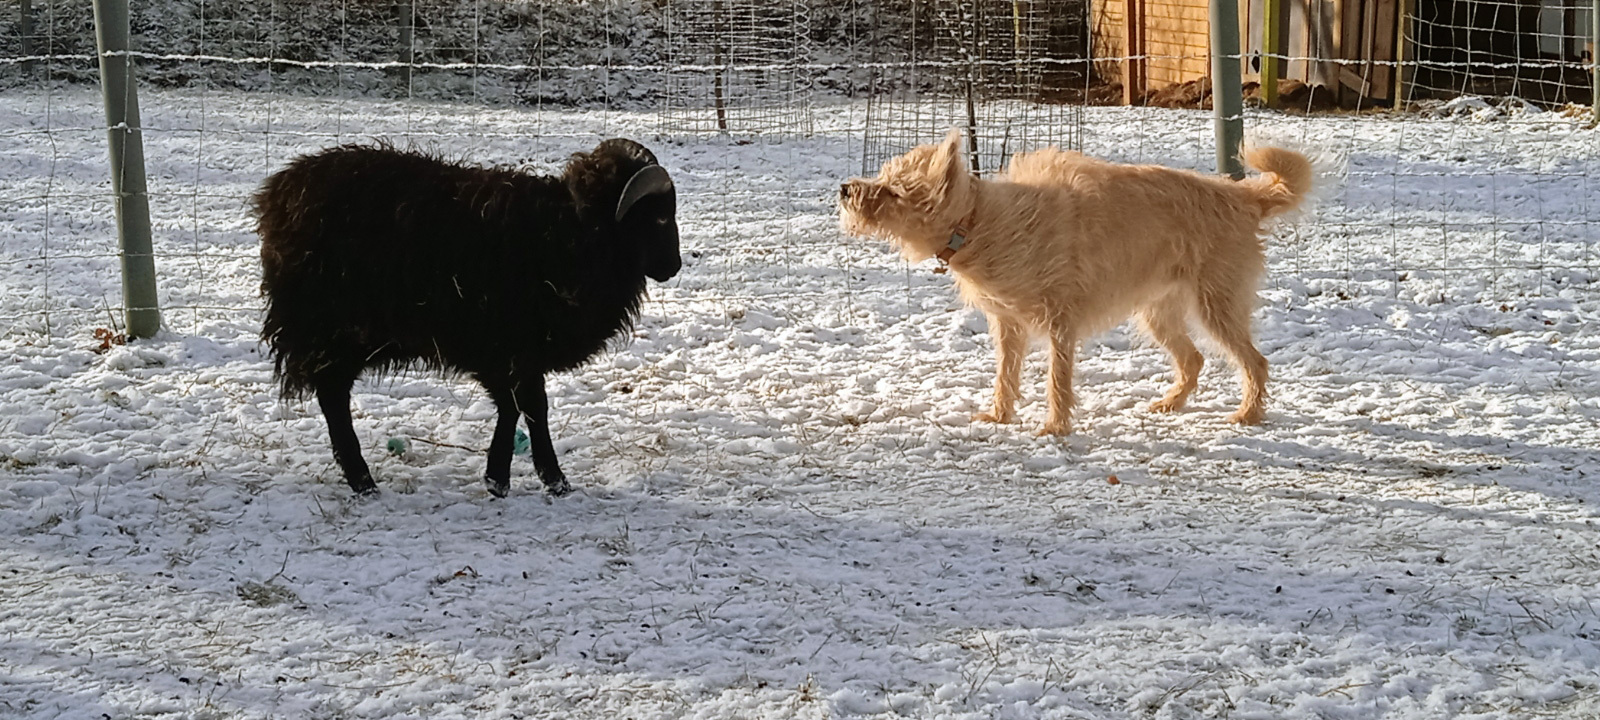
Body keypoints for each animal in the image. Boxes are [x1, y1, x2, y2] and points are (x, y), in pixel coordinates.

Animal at [254, 139, 680, 498]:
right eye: (660, 218)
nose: (674, 266)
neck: (572, 232)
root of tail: (279, 195)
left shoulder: (515, 352)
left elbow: (523, 407)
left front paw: (526, 478)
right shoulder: (507, 348)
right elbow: (524, 408)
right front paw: (522, 479)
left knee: (333, 396)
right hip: (330, 331)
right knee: (334, 397)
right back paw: (363, 481)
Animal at [838, 130, 1312, 435]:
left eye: (894, 191)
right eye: (882, 178)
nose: (845, 189)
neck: (977, 222)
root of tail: (1242, 196)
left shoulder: (1060, 323)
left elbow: (1057, 379)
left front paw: (1055, 427)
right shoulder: (1008, 326)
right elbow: (1005, 375)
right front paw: (999, 416)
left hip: (1216, 307)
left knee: (1255, 362)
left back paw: (1248, 415)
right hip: (1159, 314)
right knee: (1193, 359)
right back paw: (1170, 403)